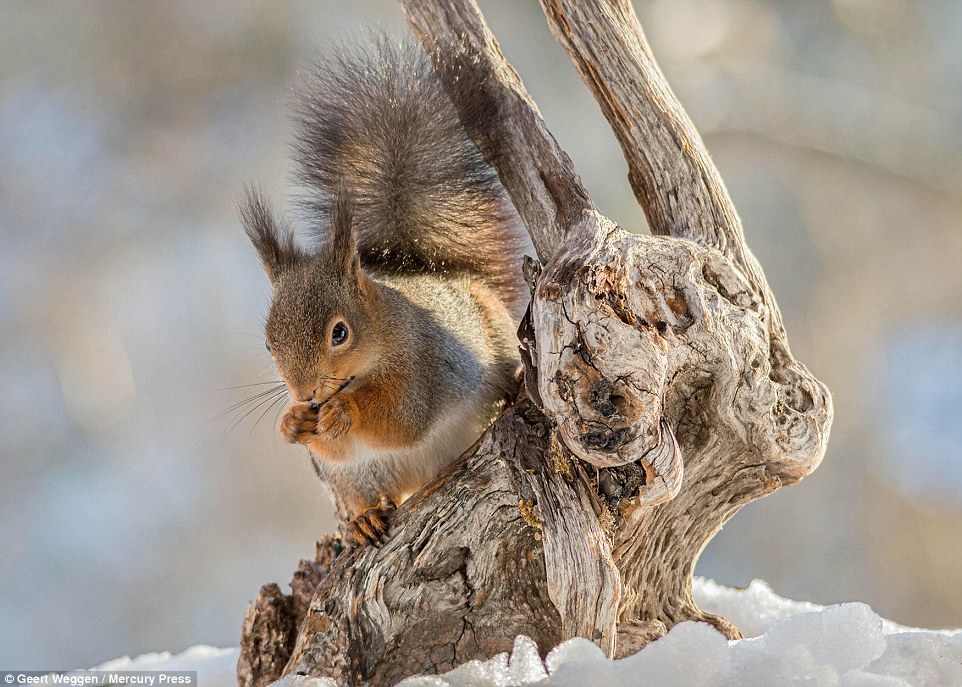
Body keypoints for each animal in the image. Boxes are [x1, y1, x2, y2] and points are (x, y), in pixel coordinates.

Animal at [240, 40, 524, 548]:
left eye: (339, 333)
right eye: (269, 345)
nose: (306, 394)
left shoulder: (424, 368)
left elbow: (400, 419)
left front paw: (344, 411)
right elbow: (331, 448)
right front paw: (293, 422)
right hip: (354, 482)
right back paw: (364, 519)